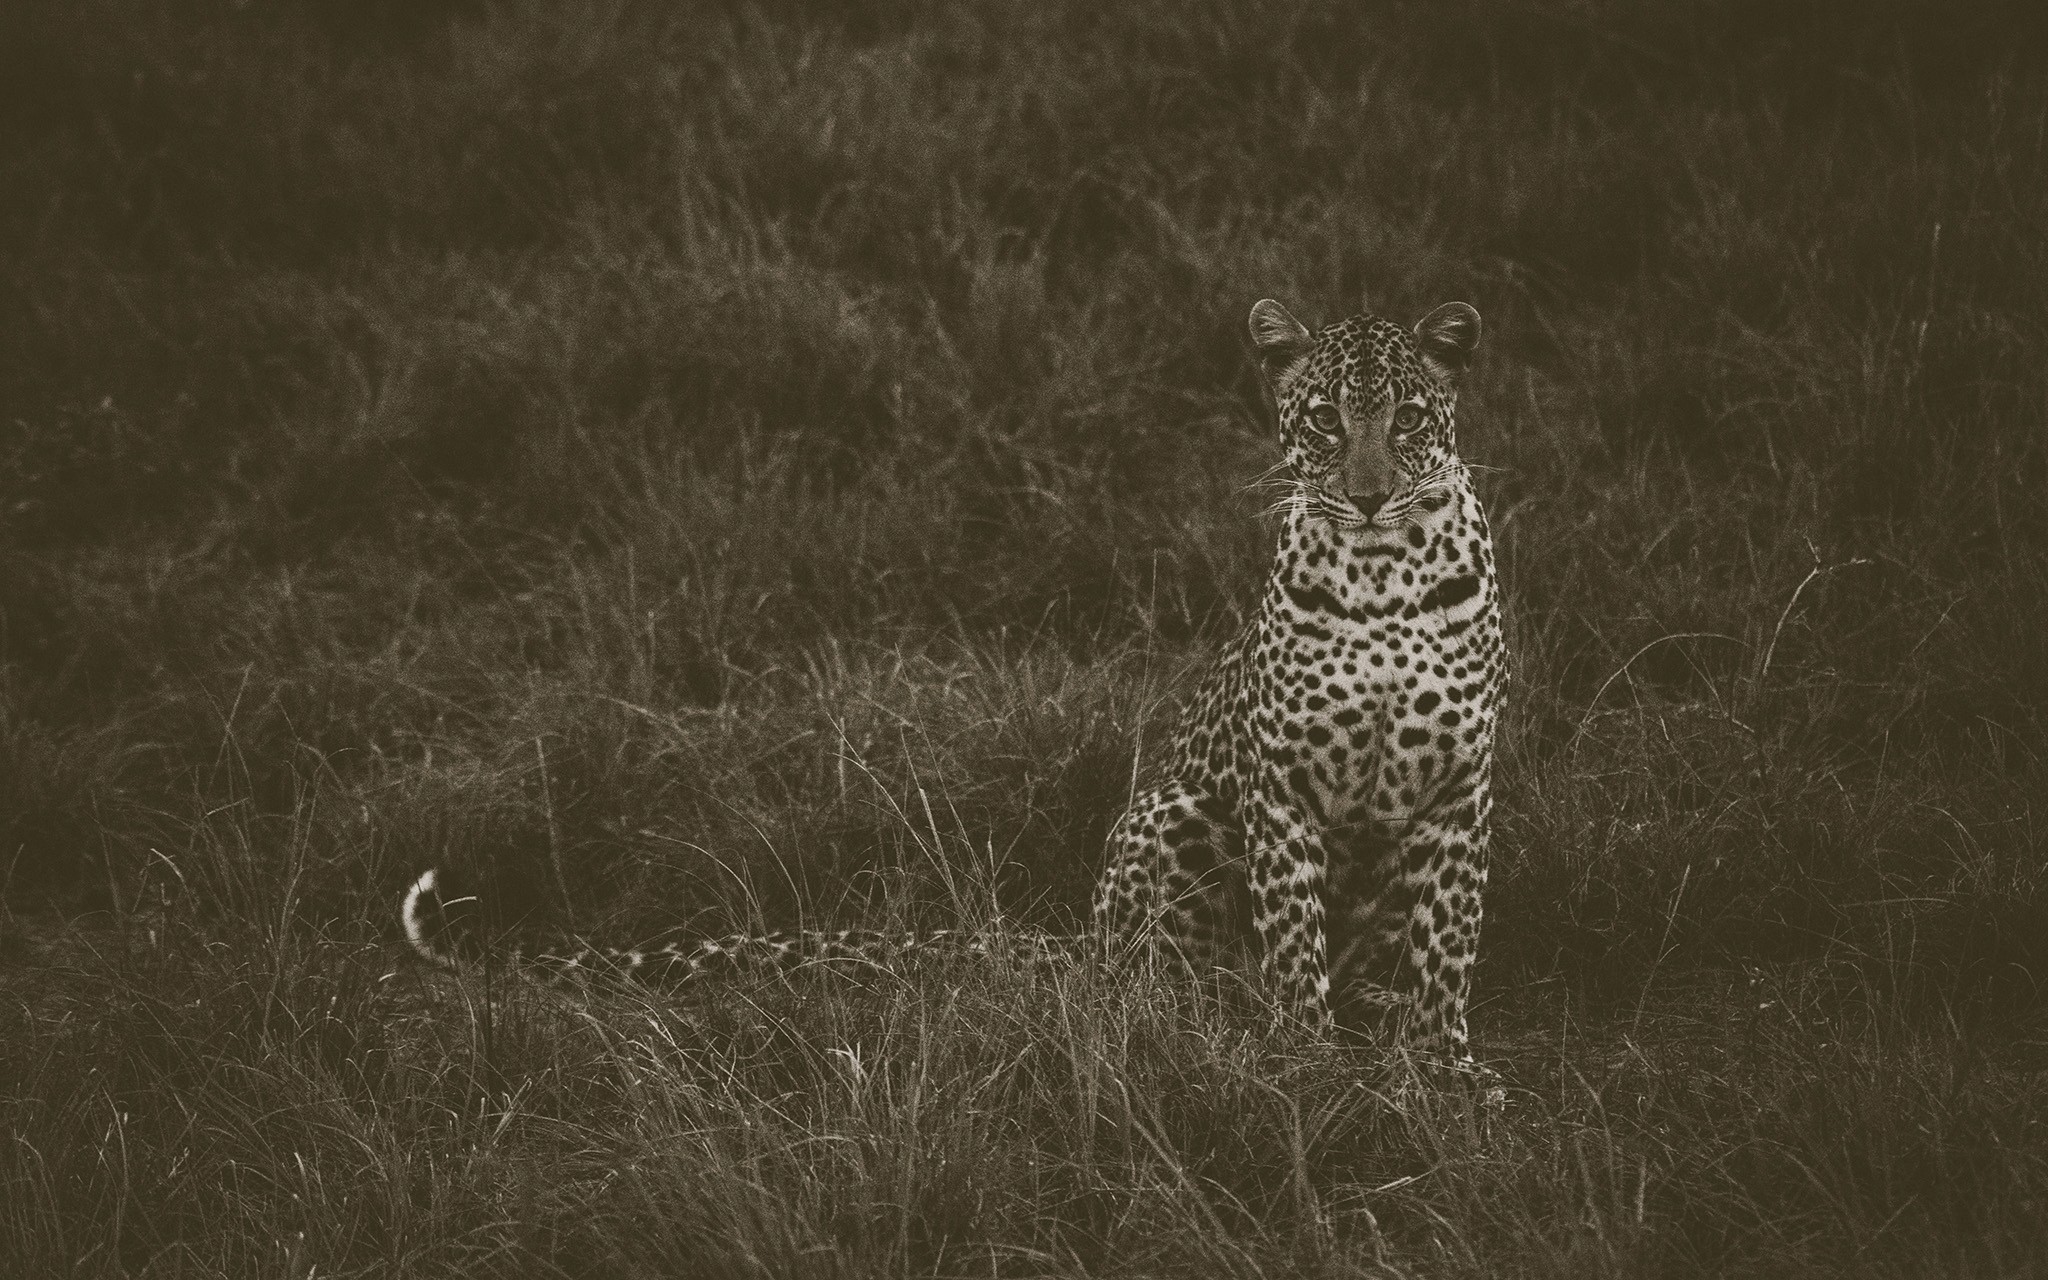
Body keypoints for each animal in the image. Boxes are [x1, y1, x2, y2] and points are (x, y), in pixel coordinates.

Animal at [401, 297, 1506, 1058]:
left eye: (1409, 418)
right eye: (1323, 420)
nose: (1368, 495)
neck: (1381, 576)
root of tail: (1080, 941)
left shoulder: (1460, 791)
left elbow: (1447, 944)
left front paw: (1442, 1072)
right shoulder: (1281, 791)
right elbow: (1293, 940)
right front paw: (1307, 1063)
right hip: (1174, 815)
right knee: (1154, 982)